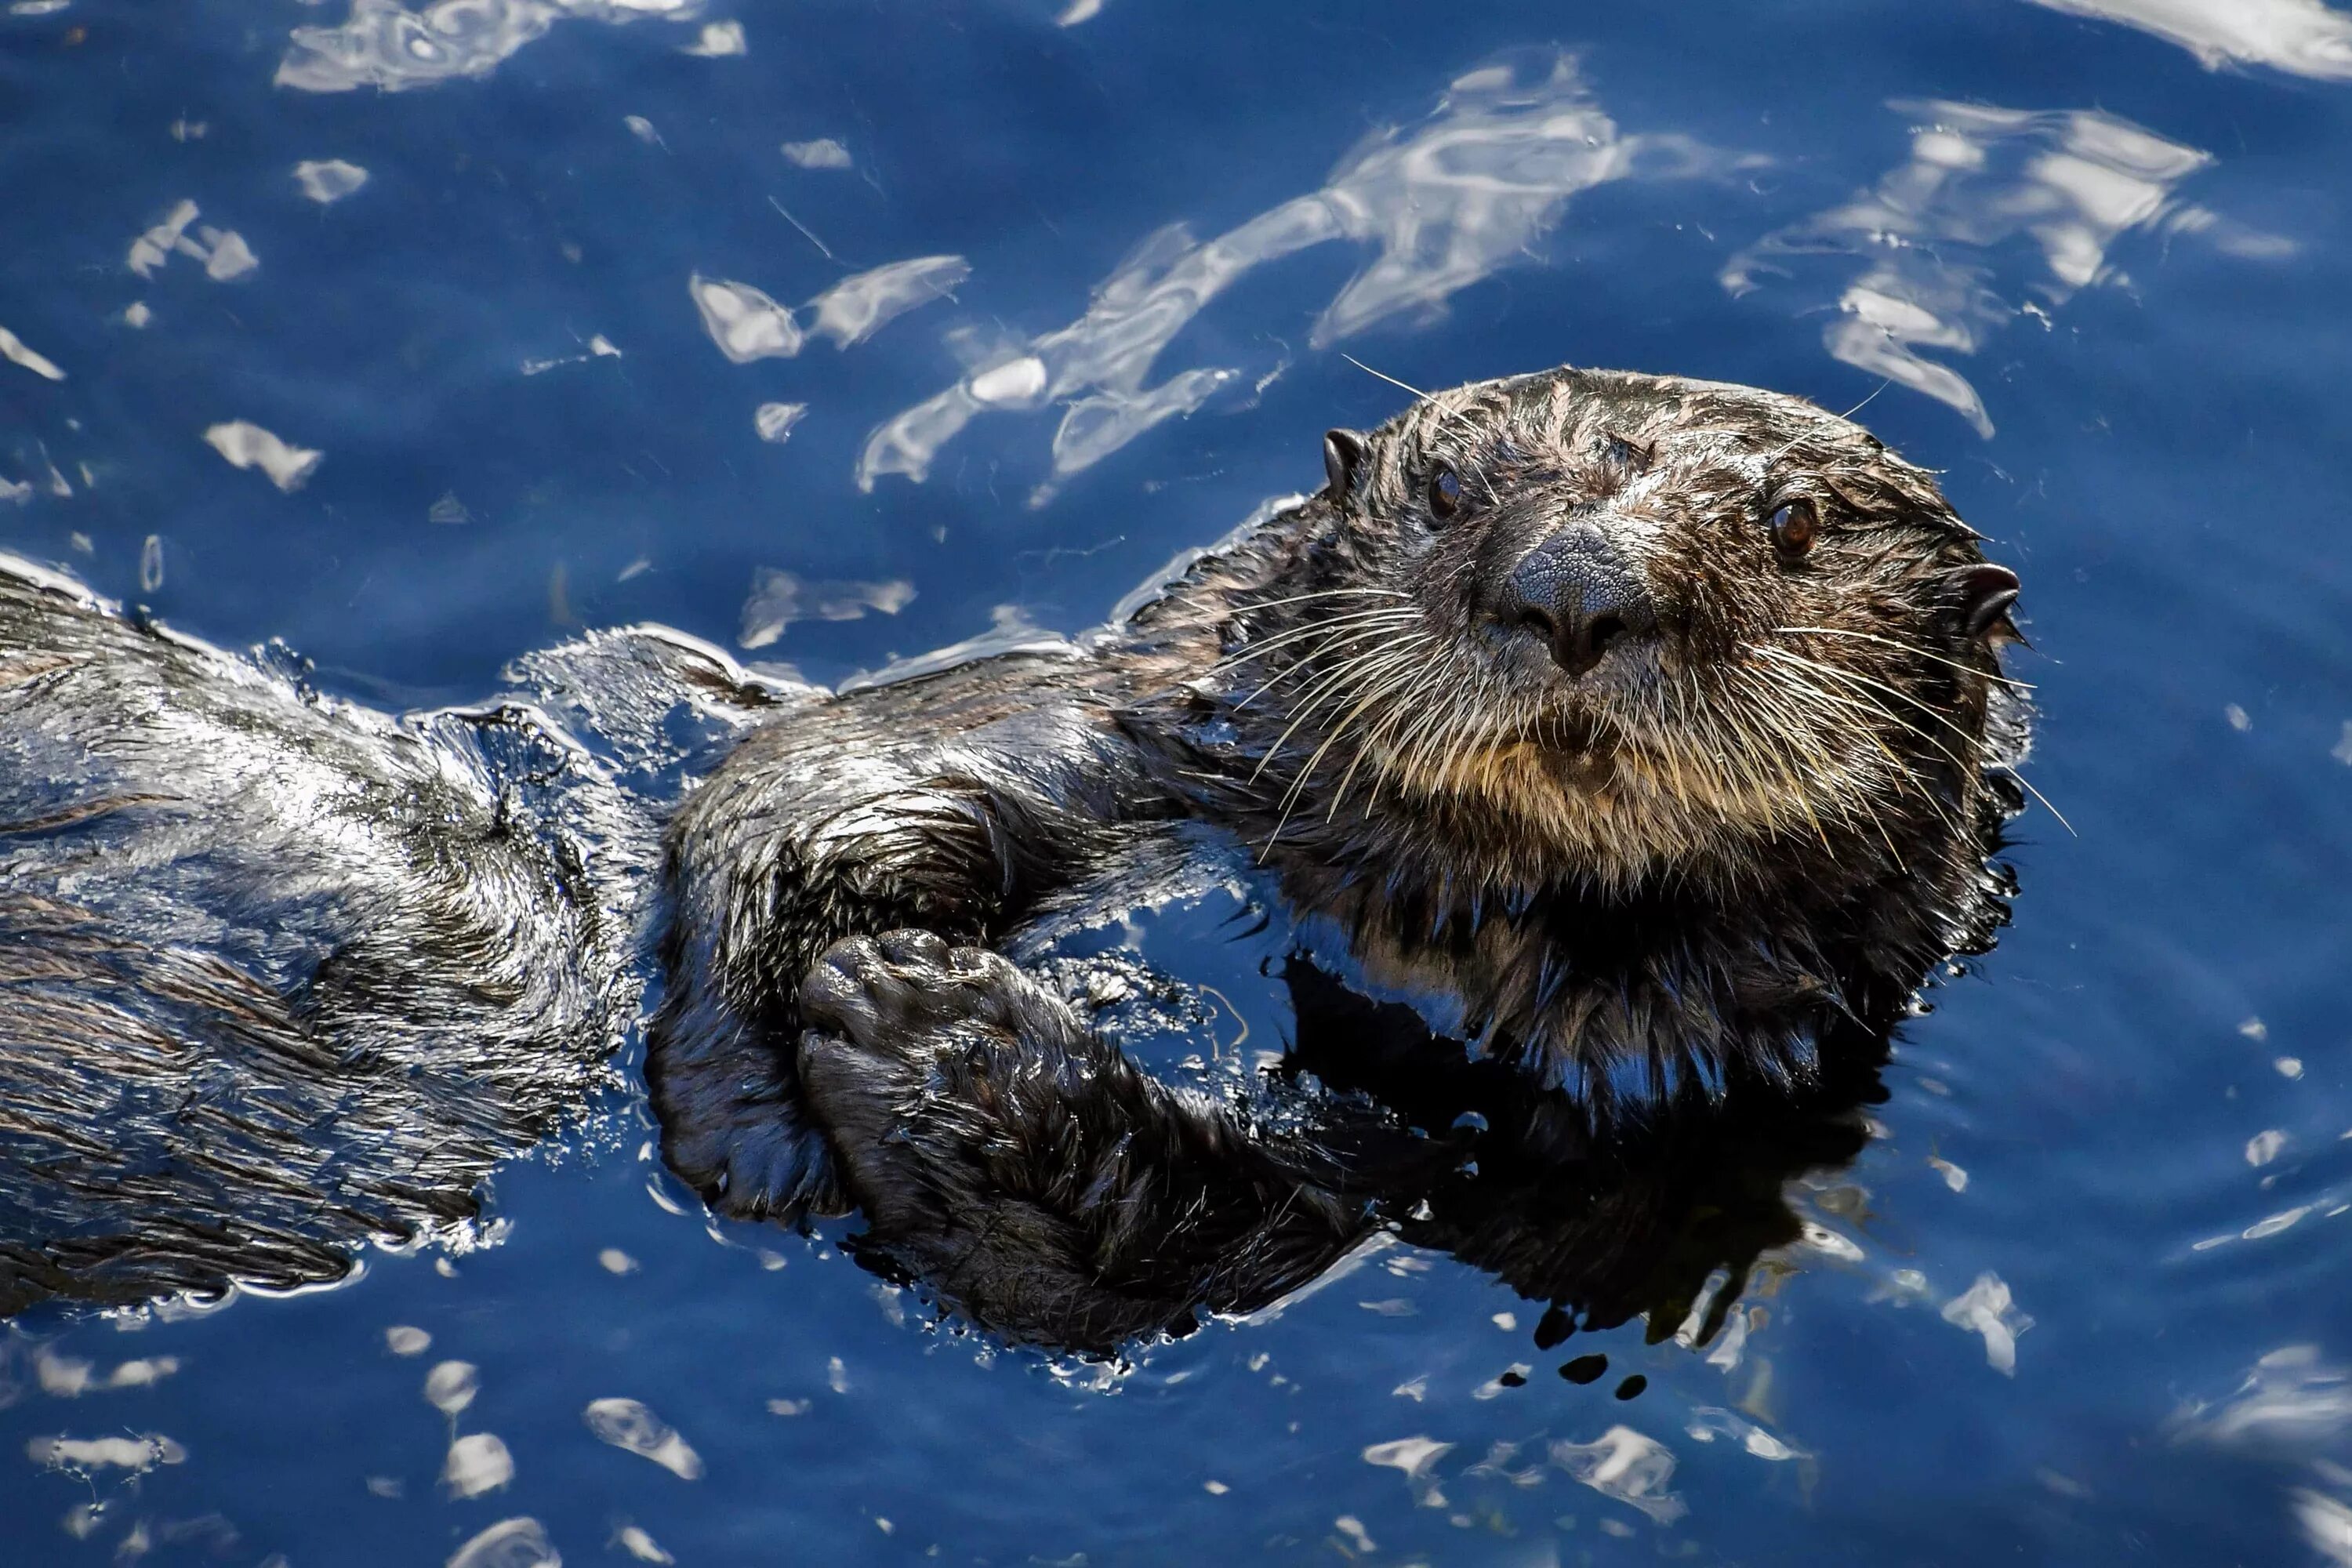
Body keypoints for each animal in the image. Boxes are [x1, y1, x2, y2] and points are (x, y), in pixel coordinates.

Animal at [0, 368, 2023, 1354]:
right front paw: (800, 1029)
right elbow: (809, 775)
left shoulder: (1640, 1140)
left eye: (1792, 522)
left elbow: (1188, 1252)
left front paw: (945, 1042)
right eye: (1452, 492)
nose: (1577, 585)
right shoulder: (1149, 717)